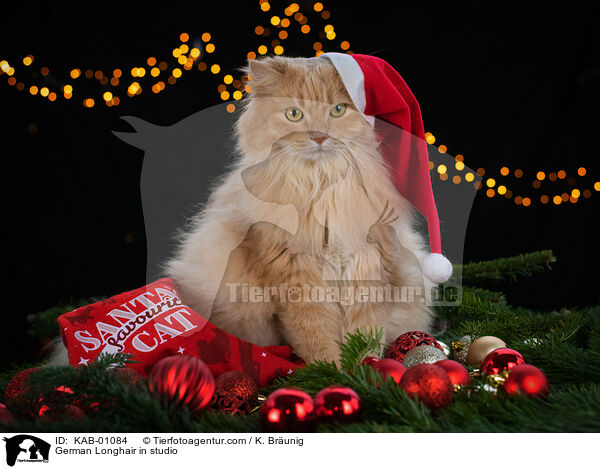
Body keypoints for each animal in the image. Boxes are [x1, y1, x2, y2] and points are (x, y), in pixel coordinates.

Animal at [166, 54, 434, 362]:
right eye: (294, 114)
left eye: (337, 110)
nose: (318, 137)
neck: (321, 185)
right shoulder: (293, 271)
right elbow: (314, 332)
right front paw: (330, 368)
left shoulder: (369, 260)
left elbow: (364, 331)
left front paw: (362, 366)